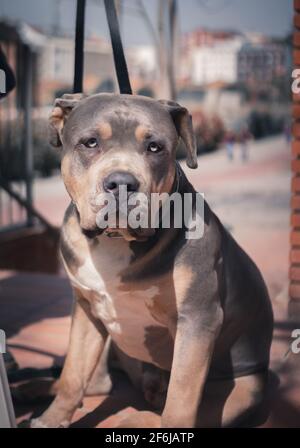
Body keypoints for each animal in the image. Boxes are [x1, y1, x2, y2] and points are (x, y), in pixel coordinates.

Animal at [29, 93, 272, 428]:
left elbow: (181, 398)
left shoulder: (198, 319)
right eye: (90, 142)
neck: (115, 241)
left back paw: (139, 418)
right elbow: (72, 374)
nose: (121, 182)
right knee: (96, 382)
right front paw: (52, 419)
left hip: (246, 387)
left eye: (154, 147)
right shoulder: (86, 309)